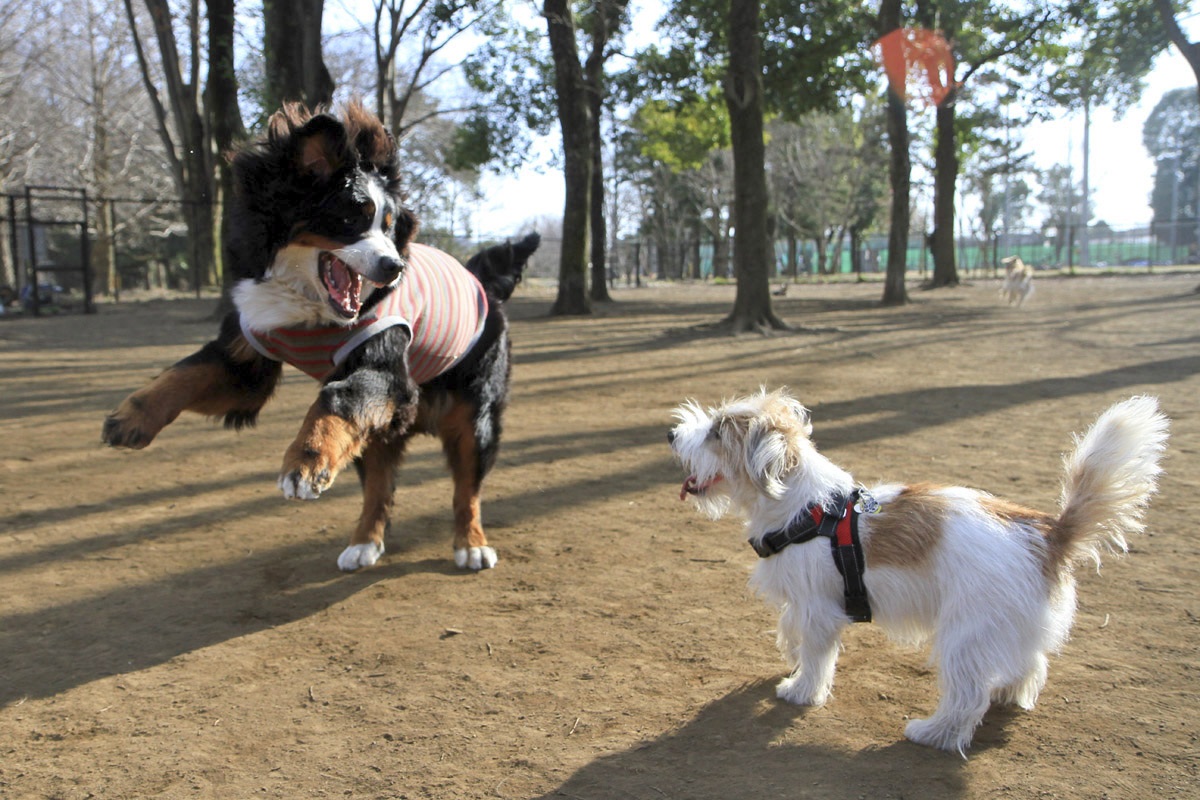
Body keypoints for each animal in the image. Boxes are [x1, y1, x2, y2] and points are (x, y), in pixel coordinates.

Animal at [100, 103, 542, 573]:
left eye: (390, 227)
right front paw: (129, 418)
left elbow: (333, 398)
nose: (395, 267)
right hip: (384, 428)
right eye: (350, 218)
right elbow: (184, 375)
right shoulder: (247, 358)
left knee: (467, 489)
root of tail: (479, 278)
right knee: (379, 488)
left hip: (474, 416)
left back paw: (471, 544)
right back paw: (363, 543)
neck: (306, 307)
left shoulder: (384, 372)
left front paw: (305, 462)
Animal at [667, 391, 1161, 753]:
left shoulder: (820, 610)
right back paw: (1009, 694)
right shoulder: (801, 602)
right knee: (1030, 664)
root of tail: (1050, 531)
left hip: (965, 637)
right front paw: (791, 659)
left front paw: (802, 690)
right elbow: (792, 631)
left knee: (967, 698)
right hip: (1010, 627)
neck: (804, 508)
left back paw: (933, 734)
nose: (671, 433)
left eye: (716, 431)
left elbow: (816, 656)